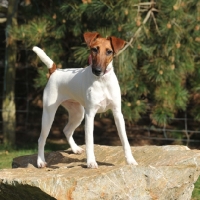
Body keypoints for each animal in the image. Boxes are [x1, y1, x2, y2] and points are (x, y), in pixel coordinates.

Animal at [33, 31, 138, 169]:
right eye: (94, 49)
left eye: (109, 51)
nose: (97, 70)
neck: (102, 81)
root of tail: (55, 71)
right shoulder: (90, 115)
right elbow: (89, 141)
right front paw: (91, 162)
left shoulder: (117, 113)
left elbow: (125, 141)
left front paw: (130, 160)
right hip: (49, 115)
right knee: (41, 139)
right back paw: (40, 161)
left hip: (78, 113)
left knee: (67, 130)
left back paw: (75, 149)